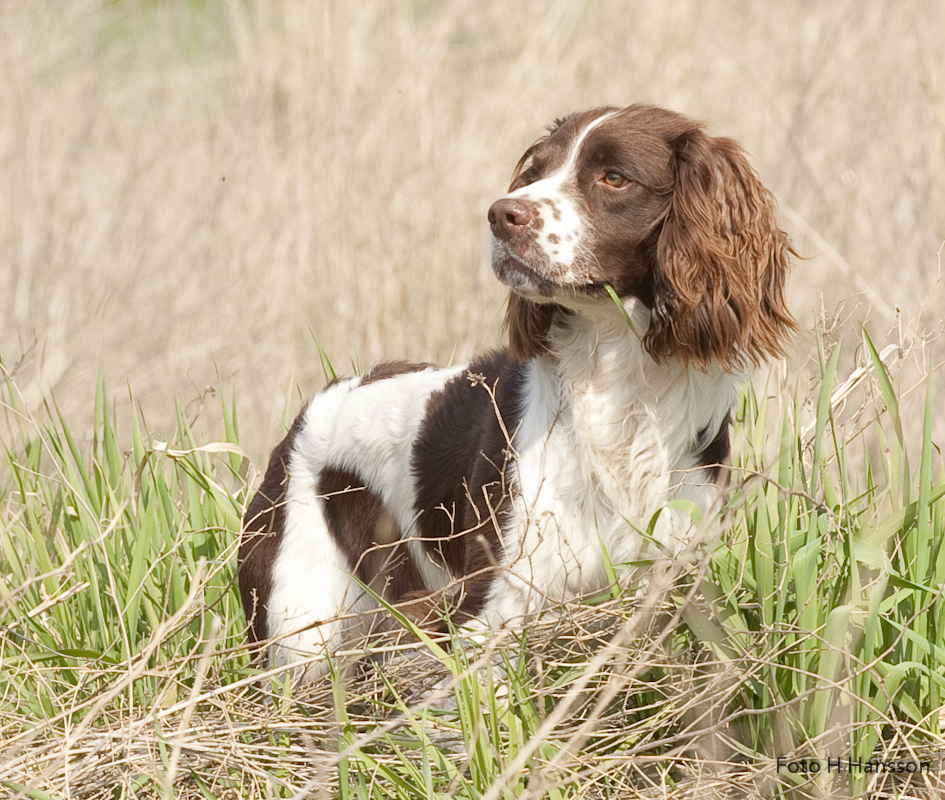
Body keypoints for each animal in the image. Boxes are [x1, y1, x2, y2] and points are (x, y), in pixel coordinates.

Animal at [238, 103, 796, 680]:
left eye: (614, 177)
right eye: (535, 172)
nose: (501, 214)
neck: (617, 384)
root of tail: (310, 413)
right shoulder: (497, 605)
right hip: (301, 628)